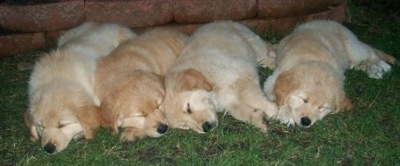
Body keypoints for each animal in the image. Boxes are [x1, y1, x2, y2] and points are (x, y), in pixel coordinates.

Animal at [264, 20, 396, 127]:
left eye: (322, 107)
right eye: (304, 100)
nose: (306, 121)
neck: (314, 62)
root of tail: (330, 21)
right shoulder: (272, 80)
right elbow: (282, 98)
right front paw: (286, 114)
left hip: (353, 48)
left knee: (370, 52)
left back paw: (383, 65)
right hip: (349, 60)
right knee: (362, 62)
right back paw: (375, 70)